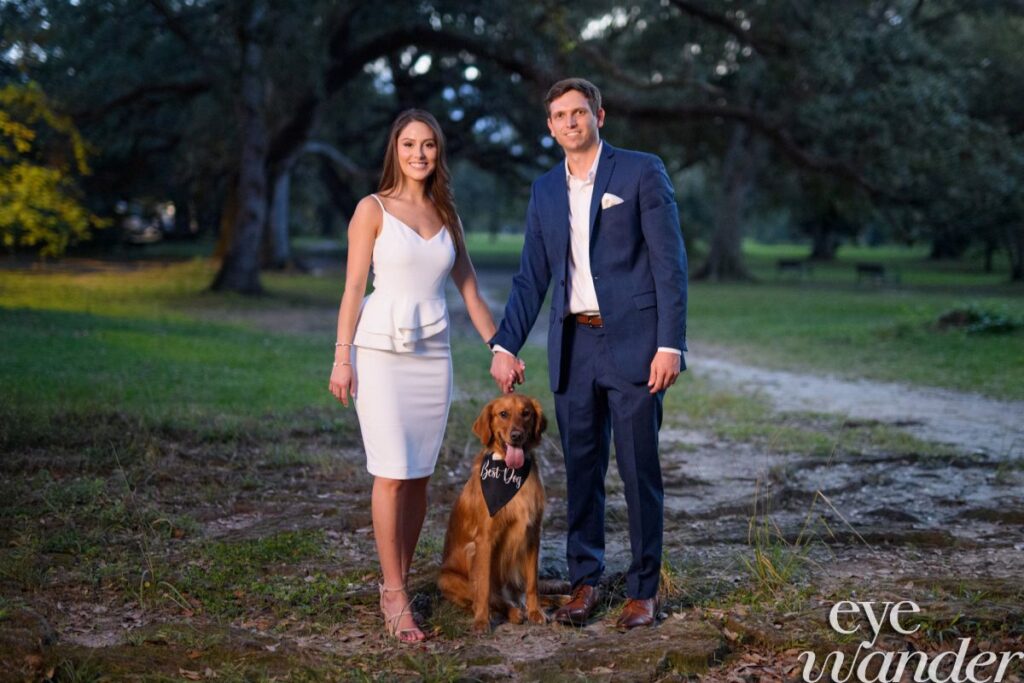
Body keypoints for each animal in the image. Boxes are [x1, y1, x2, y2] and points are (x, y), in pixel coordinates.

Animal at [438, 394, 548, 633]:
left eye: (526, 413)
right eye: (503, 414)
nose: (516, 435)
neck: (509, 472)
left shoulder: (533, 534)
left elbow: (532, 582)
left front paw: (536, 612)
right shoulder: (484, 540)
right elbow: (483, 588)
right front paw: (481, 620)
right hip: (451, 575)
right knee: (490, 597)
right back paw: (512, 612)